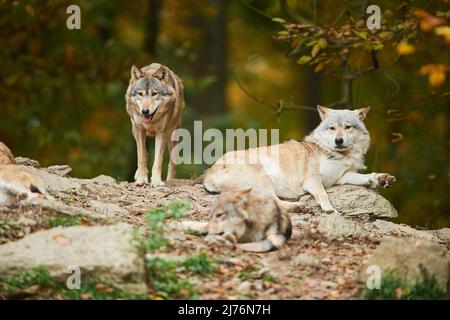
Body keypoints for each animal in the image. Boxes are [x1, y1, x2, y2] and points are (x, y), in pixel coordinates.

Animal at [206, 106, 396, 214]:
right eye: (332, 128)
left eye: (347, 127)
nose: (339, 141)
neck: (337, 155)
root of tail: (209, 173)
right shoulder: (312, 180)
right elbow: (323, 193)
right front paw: (329, 209)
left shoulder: (342, 177)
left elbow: (366, 177)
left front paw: (381, 179)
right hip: (264, 179)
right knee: (273, 202)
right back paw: (297, 207)